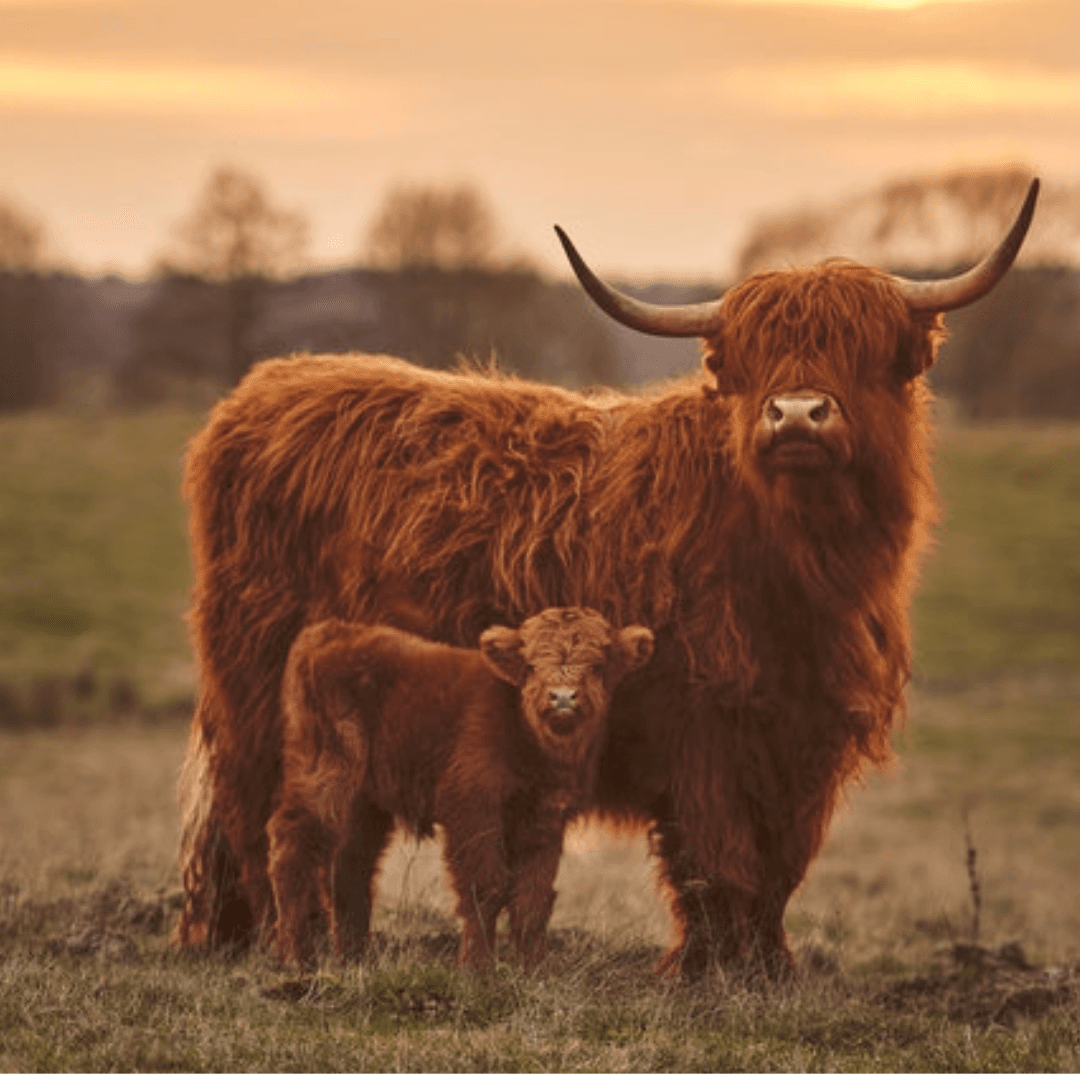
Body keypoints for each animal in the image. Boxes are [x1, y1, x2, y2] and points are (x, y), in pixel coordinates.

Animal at [267, 608, 654, 969]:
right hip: (326, 772)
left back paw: (355, 958)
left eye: (598, 665)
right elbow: (486, 887)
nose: (562, 698)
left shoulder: (545, 817)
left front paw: (534, 969)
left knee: (350, 865)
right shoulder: (473, 807)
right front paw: (477, 969)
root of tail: (330, 632)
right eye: (530, 665)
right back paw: (297, 957)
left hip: (364, 802)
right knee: (292, 842)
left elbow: (533, 897)